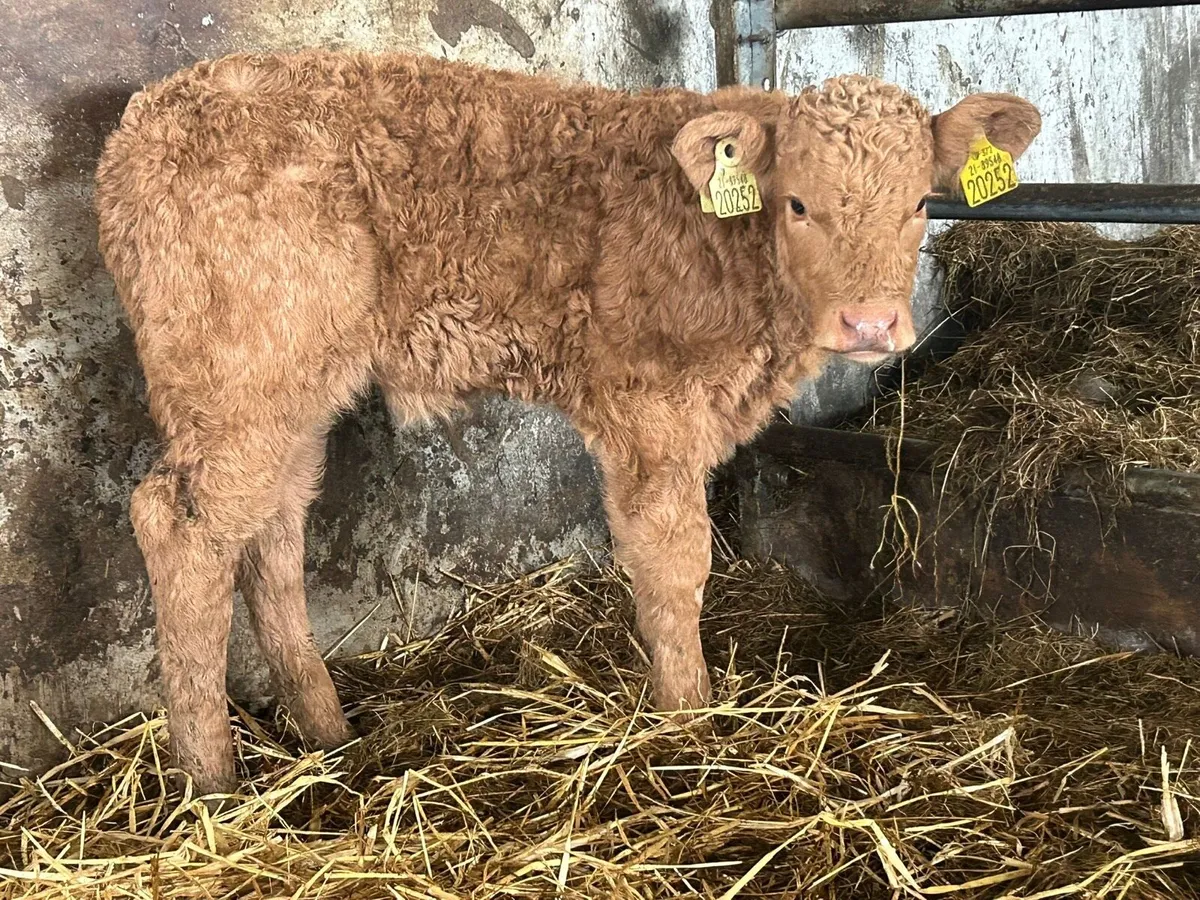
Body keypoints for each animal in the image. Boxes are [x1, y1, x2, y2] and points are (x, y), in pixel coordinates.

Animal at [95, 50, 1040, 793]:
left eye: (922, 203)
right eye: (800, 204)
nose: (872, 325)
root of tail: (151, 115)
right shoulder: (650, 408)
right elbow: (675, 562)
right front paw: (692, 724)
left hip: (296, 387)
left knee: (273, 533)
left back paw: (328, 735)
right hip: (240, 378)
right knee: (181, 528)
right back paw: (213, 782)